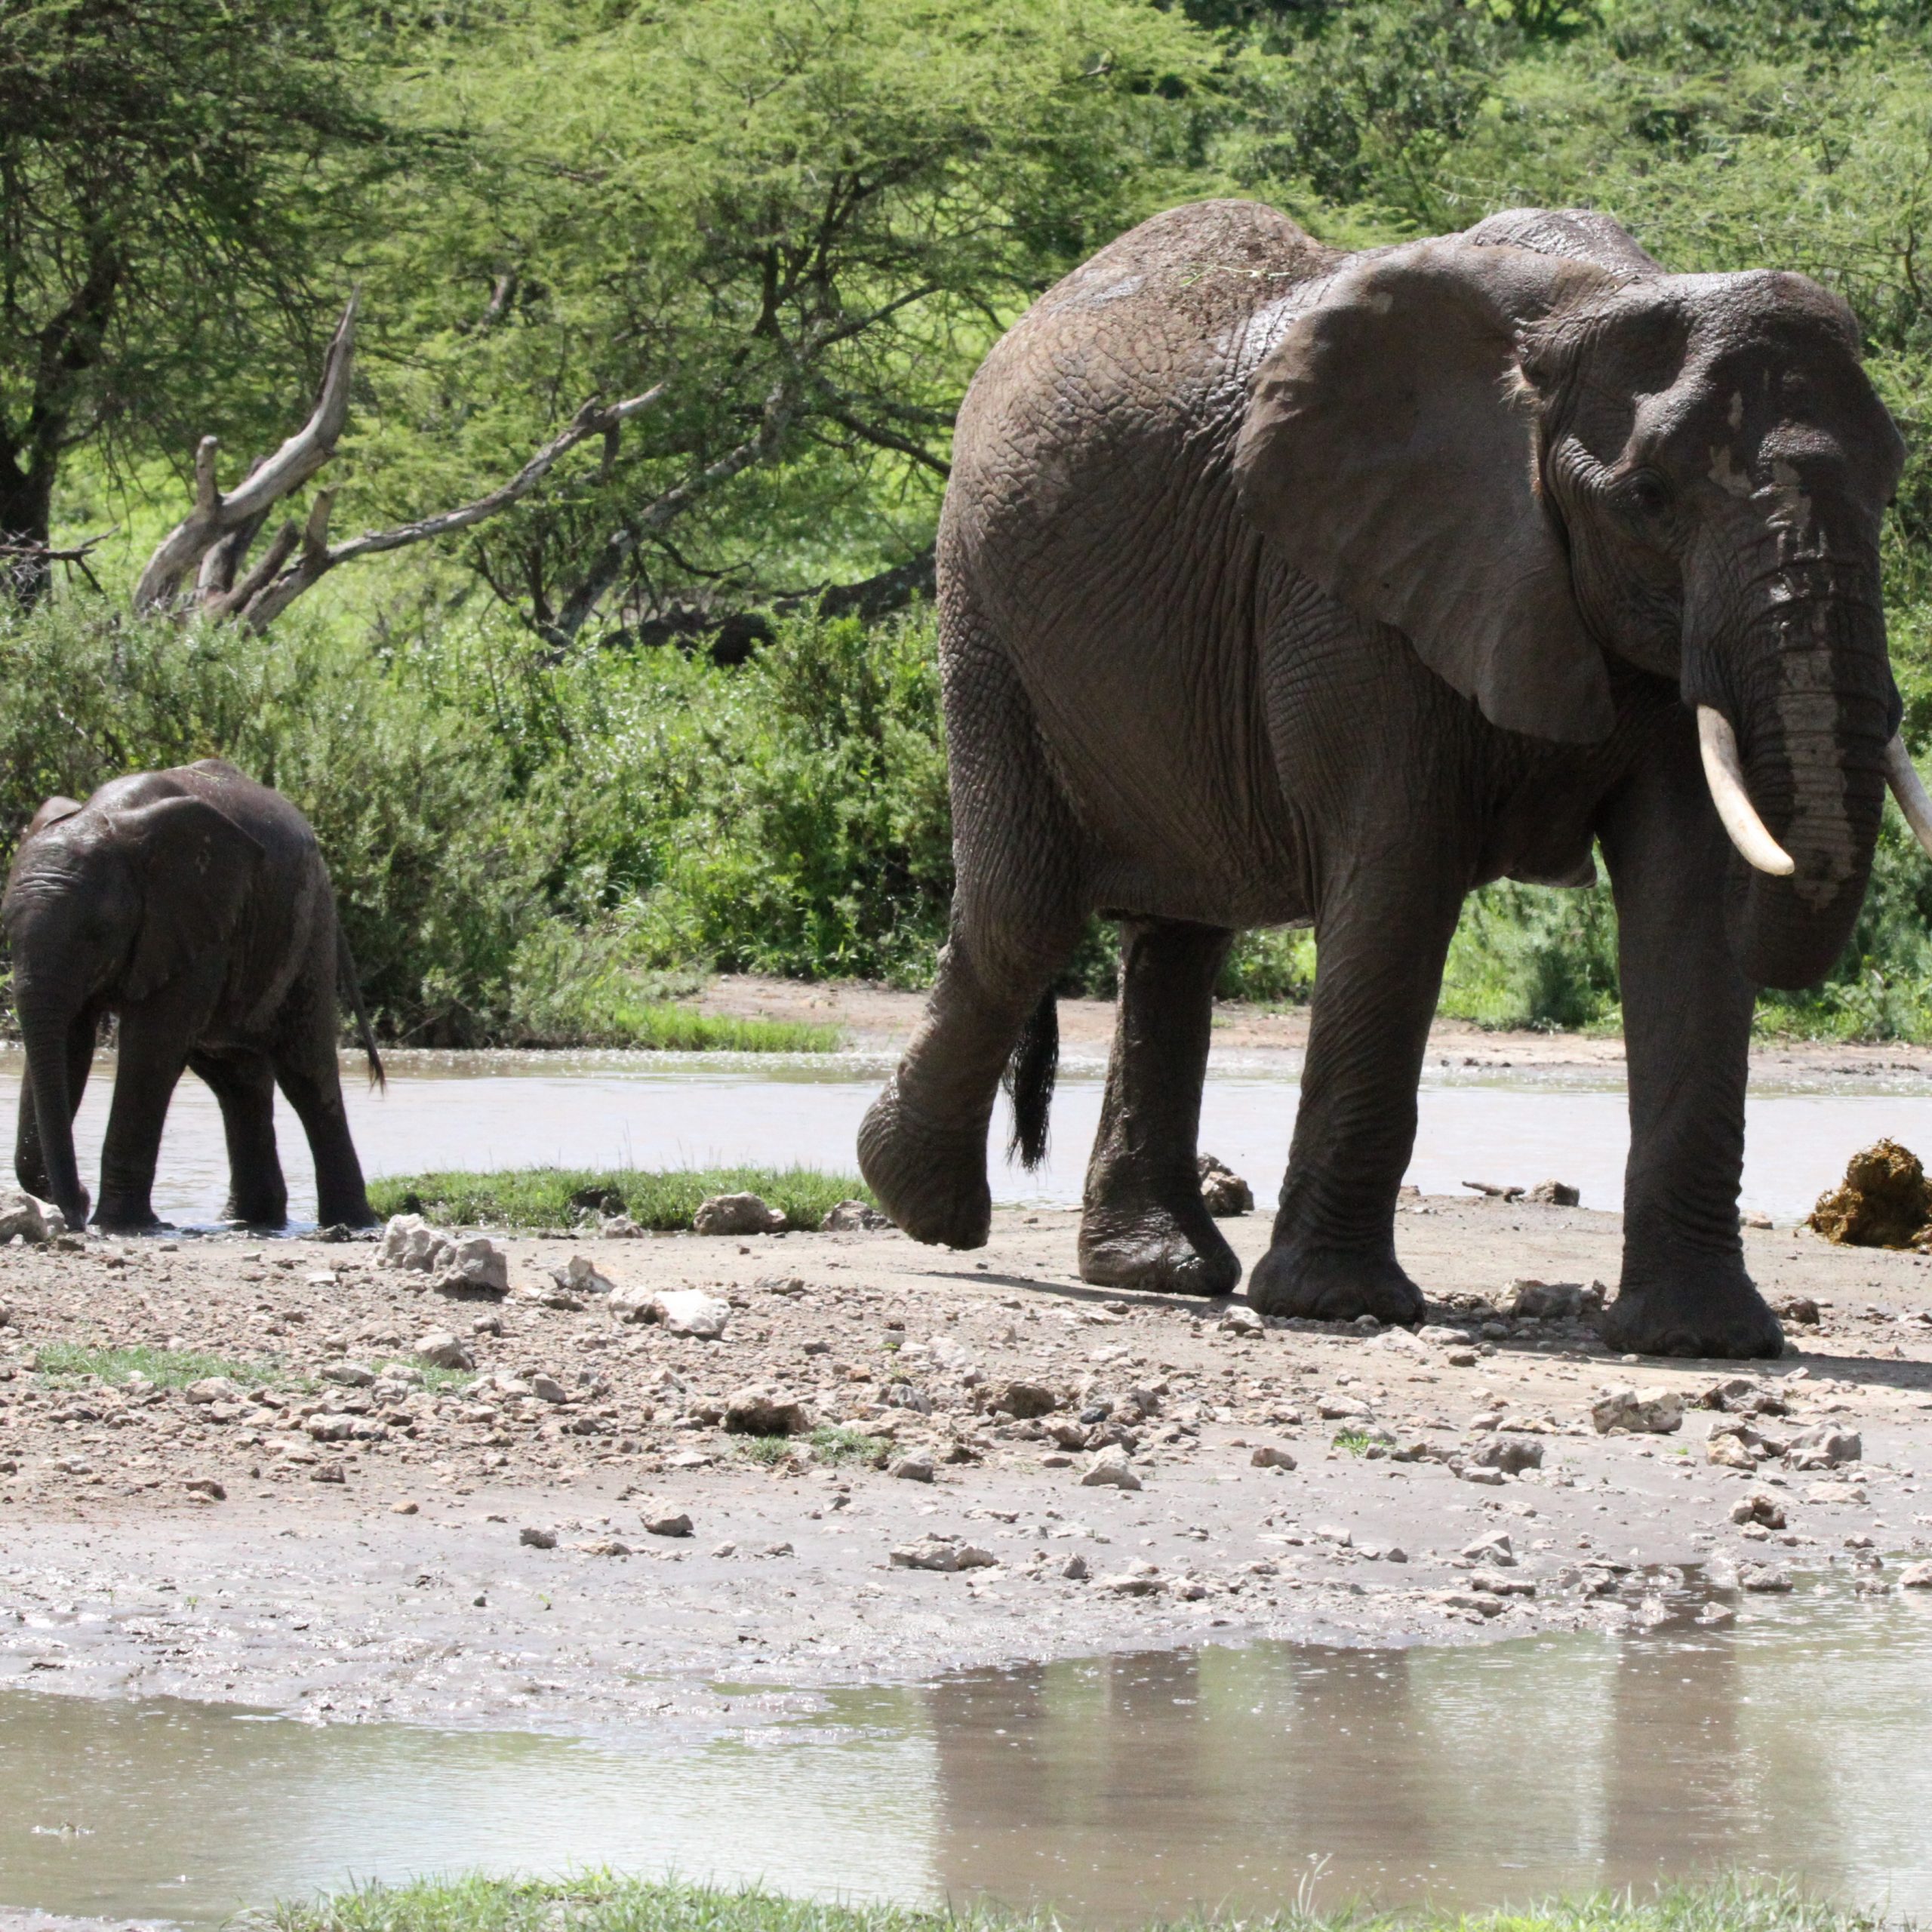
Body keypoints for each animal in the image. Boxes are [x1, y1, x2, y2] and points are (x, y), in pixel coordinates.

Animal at [6, 757, 384, 1229]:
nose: (76, 1204)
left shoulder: (193, 923)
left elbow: (150, 1049)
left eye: (98, 933)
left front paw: (119, 1224)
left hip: (308, 927)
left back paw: (348, 1224)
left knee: (306, 1075)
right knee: (236, 1082)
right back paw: (250, 1222)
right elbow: (72, 1044)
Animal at [861, 199, 1932, 1360]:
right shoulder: (1351, 589)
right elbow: (1400, 880)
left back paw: (1156, 1269)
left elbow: (1689, 899)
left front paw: (1703, 1338)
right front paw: (1337, 1306)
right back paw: (921, 1205)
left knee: (1176, 940)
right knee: (1026, 913)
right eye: (1648, 497)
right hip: (983, 608)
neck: (1592, 310)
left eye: (1891, 481)